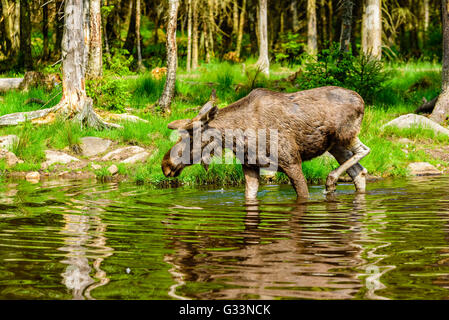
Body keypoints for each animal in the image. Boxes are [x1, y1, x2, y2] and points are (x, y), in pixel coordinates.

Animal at [163, 86, 370, 199]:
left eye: (191, 135)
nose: (165, 164)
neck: (236, 139)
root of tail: (362, 101)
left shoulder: (292, 161)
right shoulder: (250, 166)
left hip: (344, 134)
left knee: (364, 151)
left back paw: (331, 180)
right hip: (336, 146)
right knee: (358, 172)